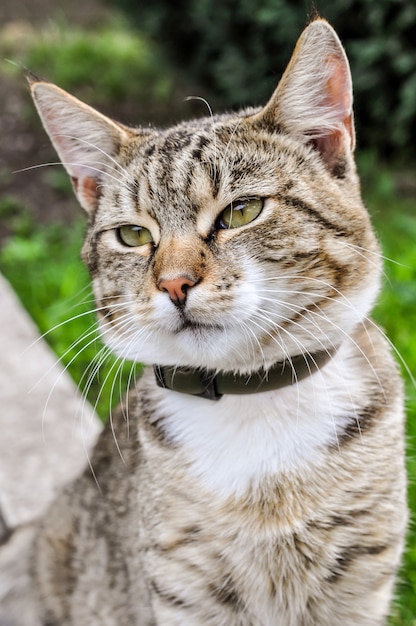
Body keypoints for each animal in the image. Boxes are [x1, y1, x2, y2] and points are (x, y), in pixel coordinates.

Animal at [0, 17, 410, 624]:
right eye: (133, 235)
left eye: (241, 211)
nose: (174, 284)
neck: (254, 400)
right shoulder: (182, 589)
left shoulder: (361, 579)